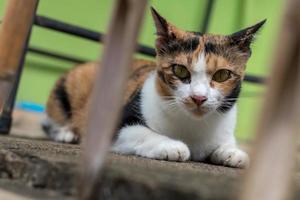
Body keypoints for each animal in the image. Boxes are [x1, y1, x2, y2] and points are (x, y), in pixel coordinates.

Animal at [42, 7, 264, 168]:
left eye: (222, 75)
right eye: (180, 70)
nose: (198, 98)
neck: (192, 125)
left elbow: (225, 145)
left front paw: (232, 152)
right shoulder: (116, 124)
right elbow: (142, 132)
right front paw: (172, 146)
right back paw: (66, 133)